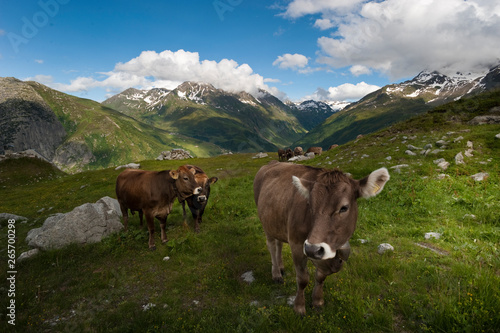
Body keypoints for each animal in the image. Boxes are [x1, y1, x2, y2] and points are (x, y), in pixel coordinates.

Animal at [254, 161, 390, 314]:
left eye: (344, 208)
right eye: (309, 205)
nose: (312, 249)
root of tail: (273, 162)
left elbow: (321, 276)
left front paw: (317, 301)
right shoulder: (296, 243)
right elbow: (302, 279)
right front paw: (299, 307)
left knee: (279, 244)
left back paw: (281, 267)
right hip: (266, 223)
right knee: (271, 245)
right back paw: (276, 273)